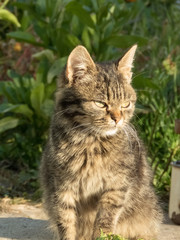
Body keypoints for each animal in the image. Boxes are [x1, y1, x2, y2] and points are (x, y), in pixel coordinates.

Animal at [40, 45, 162, 240]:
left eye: (125, 104)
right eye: (100, 103)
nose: (117, 119)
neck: (91, 143)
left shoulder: (116, 188)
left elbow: (104, 222)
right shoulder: (61, 189)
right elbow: (66, 223)